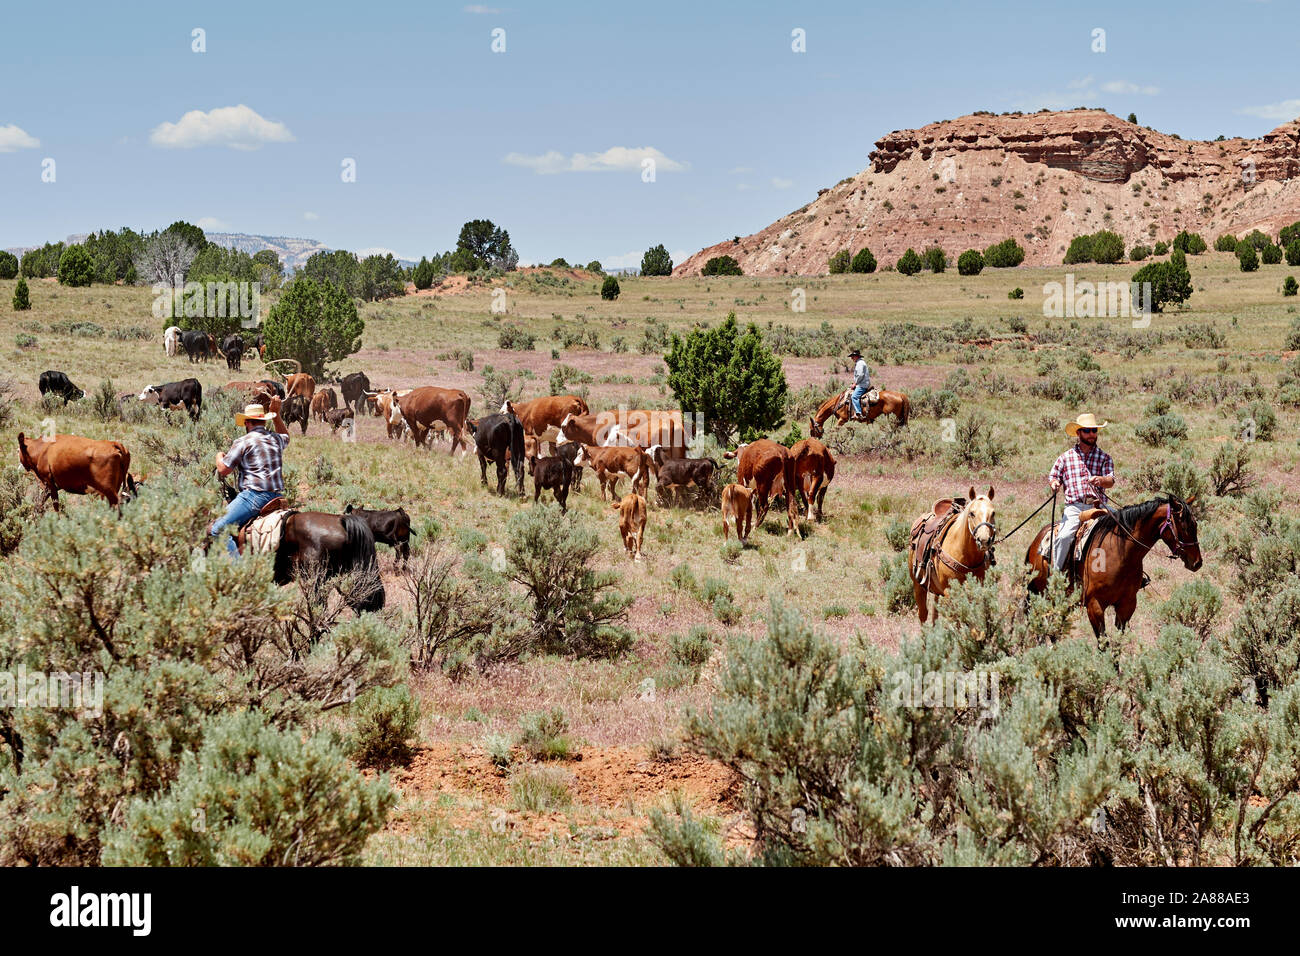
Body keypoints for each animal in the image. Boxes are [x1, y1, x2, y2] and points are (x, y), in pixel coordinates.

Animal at [915, 486, 993, 629]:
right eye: (972, 513)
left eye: (993, 513)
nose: (984, 540)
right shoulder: (949, 591)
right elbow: (956, 619)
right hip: (918, 585)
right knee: (923, 614)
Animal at [1019, 494, 1201, 642]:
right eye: (1185, 527)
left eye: (1195, 525)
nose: (1197, 563)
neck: (1121, 553)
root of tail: (1036, 540)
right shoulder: (1095, 606)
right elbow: (1104, 643)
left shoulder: (1127, 605)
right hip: (1039, 595)